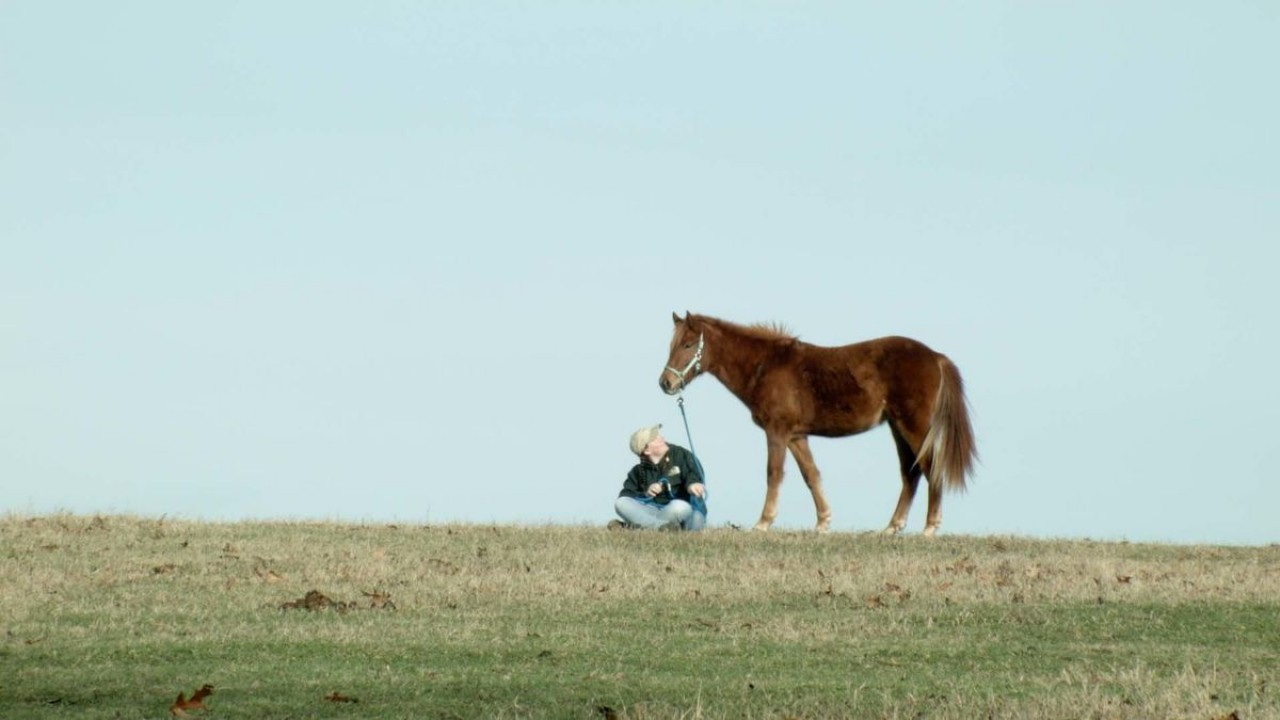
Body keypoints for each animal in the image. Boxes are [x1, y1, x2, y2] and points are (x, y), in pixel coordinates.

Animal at [659, 312, 976, 535]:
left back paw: (930, 527)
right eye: (671, 345)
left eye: (687, 344)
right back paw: (891, 527)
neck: (766, 366)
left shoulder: (777, 432)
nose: (666, 383)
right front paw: (823, 522)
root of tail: (935, 356)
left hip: (914, 426)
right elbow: (811, 475)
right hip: (898, 428)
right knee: (910, 473)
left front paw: (763, 522)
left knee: (930, 469)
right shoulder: (797, 436)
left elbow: (774, 473)